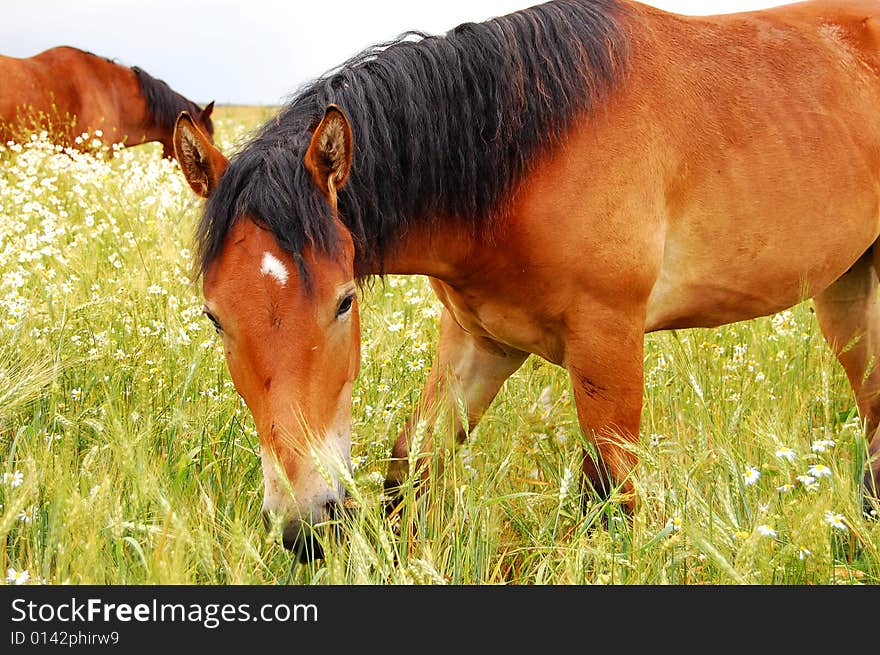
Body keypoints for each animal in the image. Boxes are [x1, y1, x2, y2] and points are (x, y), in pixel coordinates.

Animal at [172, 0, 880, 560]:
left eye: (344, 302)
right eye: (214, 316)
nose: (305, 525)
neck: (532, 151)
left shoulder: (607, 341)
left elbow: (615, 494)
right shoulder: (480, 340)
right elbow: (412, 465)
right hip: (849, 290)